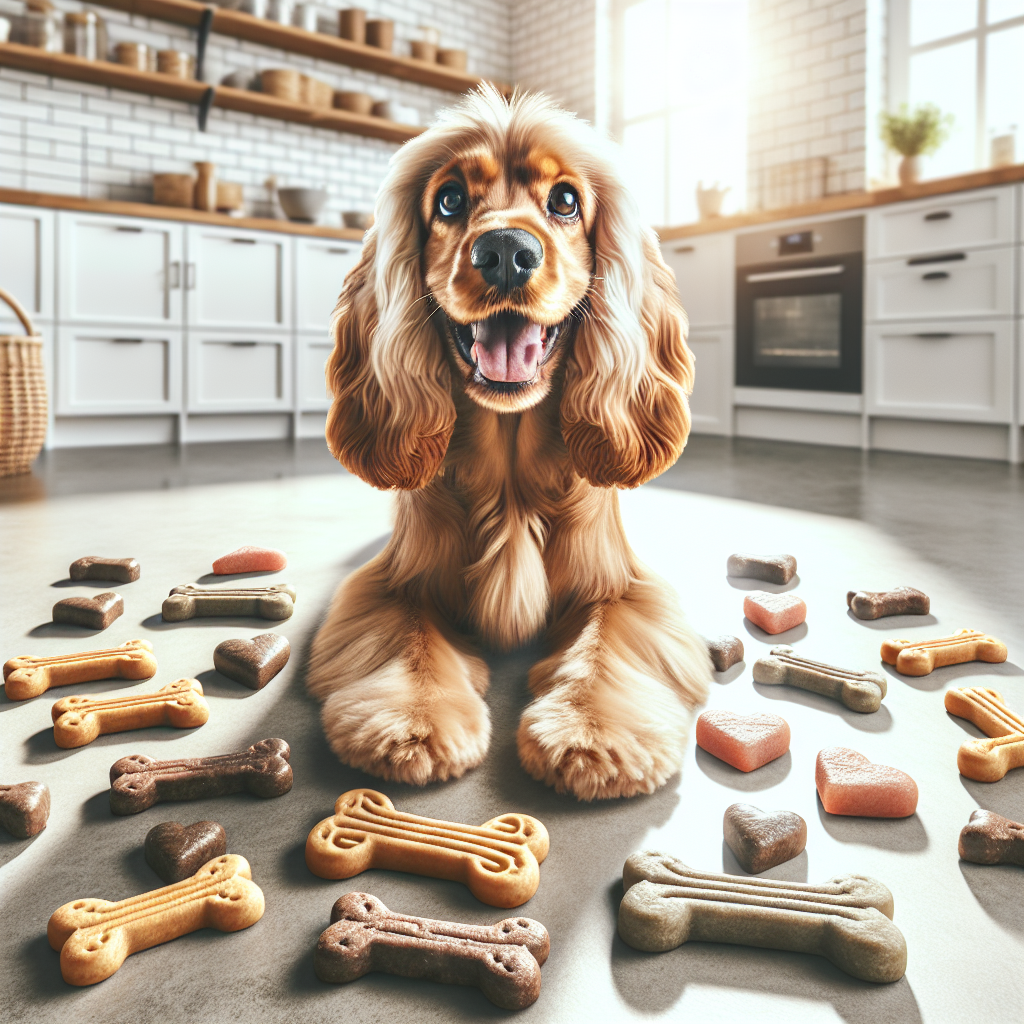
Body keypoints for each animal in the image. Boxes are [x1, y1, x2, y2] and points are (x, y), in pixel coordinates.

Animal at [305, 83, 712, 798]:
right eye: (449, 199)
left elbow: (608, 640)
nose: (503, 252)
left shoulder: (625, 586)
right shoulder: (391, 583)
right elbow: (408, 636)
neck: (510, 471)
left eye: (566, 200)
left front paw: (590, 733)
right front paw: (413, 724)